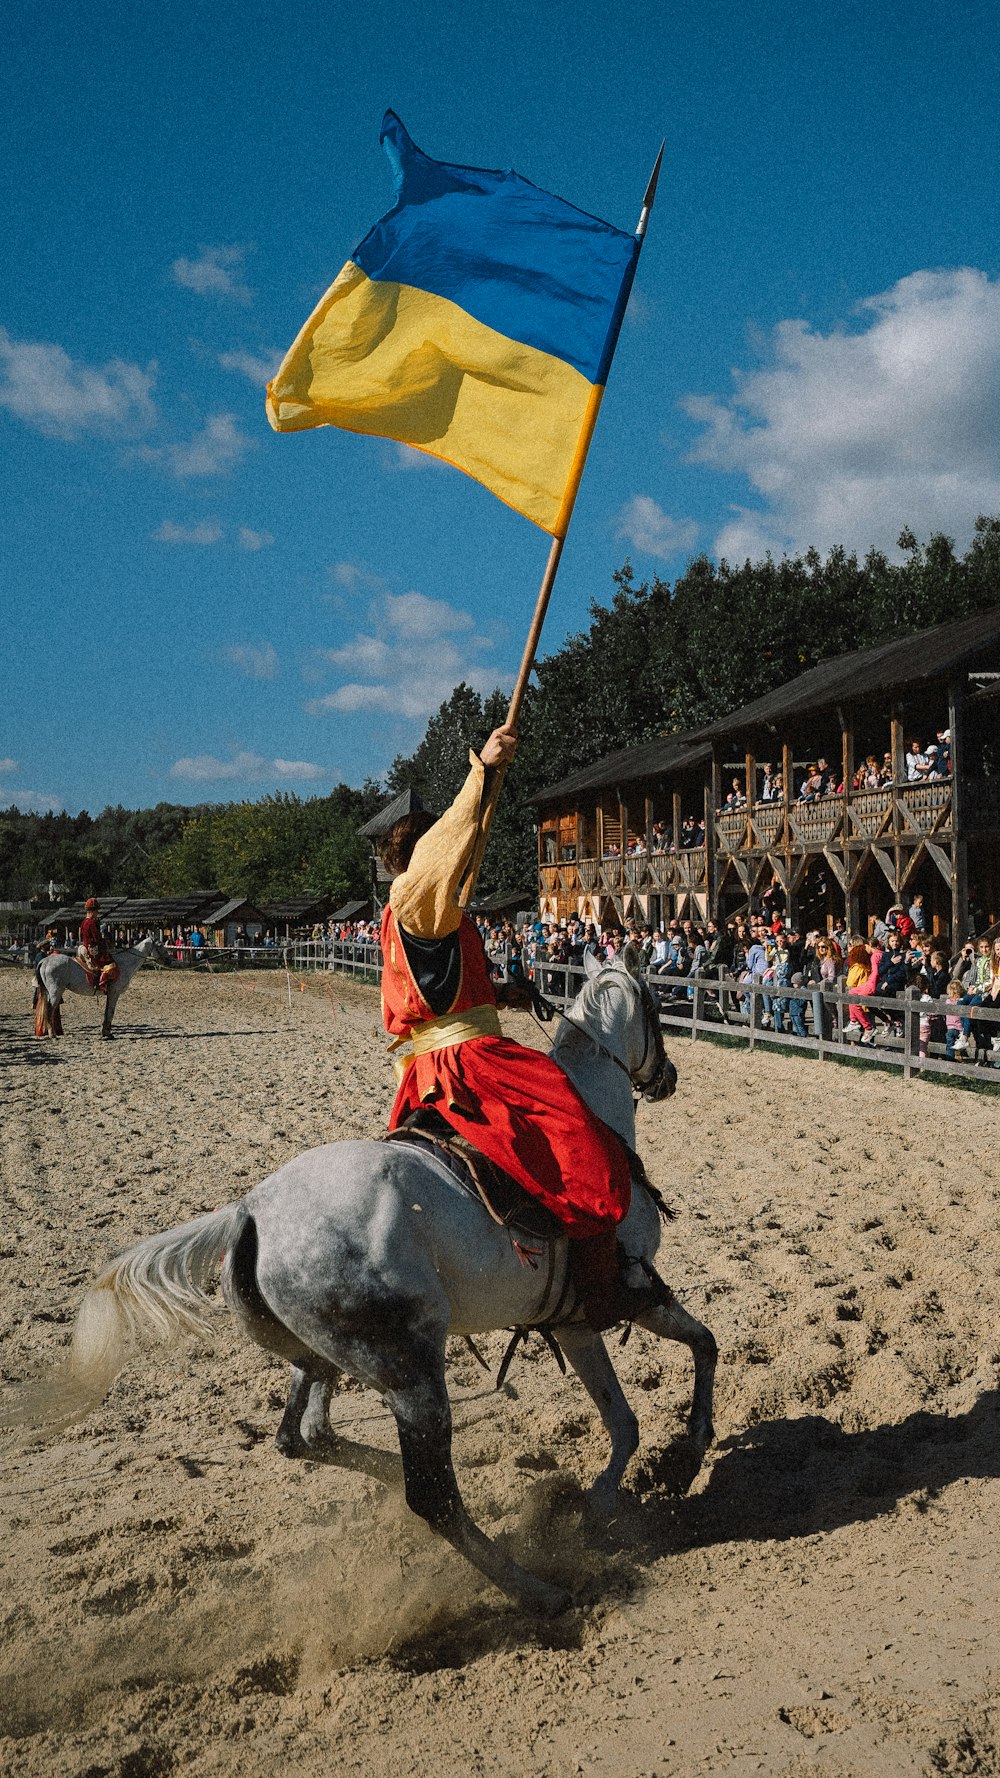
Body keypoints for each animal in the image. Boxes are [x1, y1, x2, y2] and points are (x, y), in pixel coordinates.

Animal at [3, 953, 711, 1621]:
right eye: (656, 1006)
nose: (670, 1077)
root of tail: (250, 1210)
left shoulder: (571, 1319)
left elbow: (625, 1415)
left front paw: (610, 1495)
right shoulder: (628, 1292)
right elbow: (696, 1351)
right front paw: (686, 1451)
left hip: (322, 1360)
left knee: (306, 1439)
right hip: (412, 1374)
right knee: (432, 1495)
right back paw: (535, 1590)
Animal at [34, 938, 169, 1038]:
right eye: (160, 945)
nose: (169, 960)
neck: (124, 963)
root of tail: (45, 961)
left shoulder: (110, 994)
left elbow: (107, 1012)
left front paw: (104, 1031)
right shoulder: (114, 993)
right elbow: (110, 1012)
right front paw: (107, 1033)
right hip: (55, 992)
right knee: (49, 1009)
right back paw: (52, 1034)